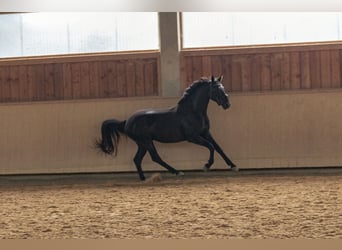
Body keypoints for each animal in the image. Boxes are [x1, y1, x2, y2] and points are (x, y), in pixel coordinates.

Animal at [95, 75, 236, 181]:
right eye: (216, 89)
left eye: (223, 87)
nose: (227, 104)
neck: (193, 112)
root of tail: (127, 122)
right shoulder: (193, 137)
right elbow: (211, 147)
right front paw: (206, 165)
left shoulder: (206, 133)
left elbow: (218, 148)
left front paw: (233, 166)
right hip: (146, 141)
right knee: (155, 157)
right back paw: (177, 172)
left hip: (142, 144)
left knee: (137, 159)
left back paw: (143, 178)